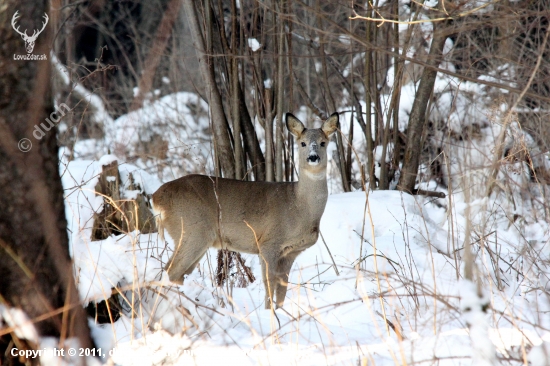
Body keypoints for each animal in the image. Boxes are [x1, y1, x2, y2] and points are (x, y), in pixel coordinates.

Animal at [152, 112, 340, 308]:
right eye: (302, 143)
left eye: (323, 142)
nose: (313, 157)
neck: (299, 206)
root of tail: (156, 198)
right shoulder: (268, 243)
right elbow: (269, 284)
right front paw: (270, 312)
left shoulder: (291, 252)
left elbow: (282, 288)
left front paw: (280, 311)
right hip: (191, 231)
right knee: (170, 271)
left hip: (196, 238)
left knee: (175, 273)